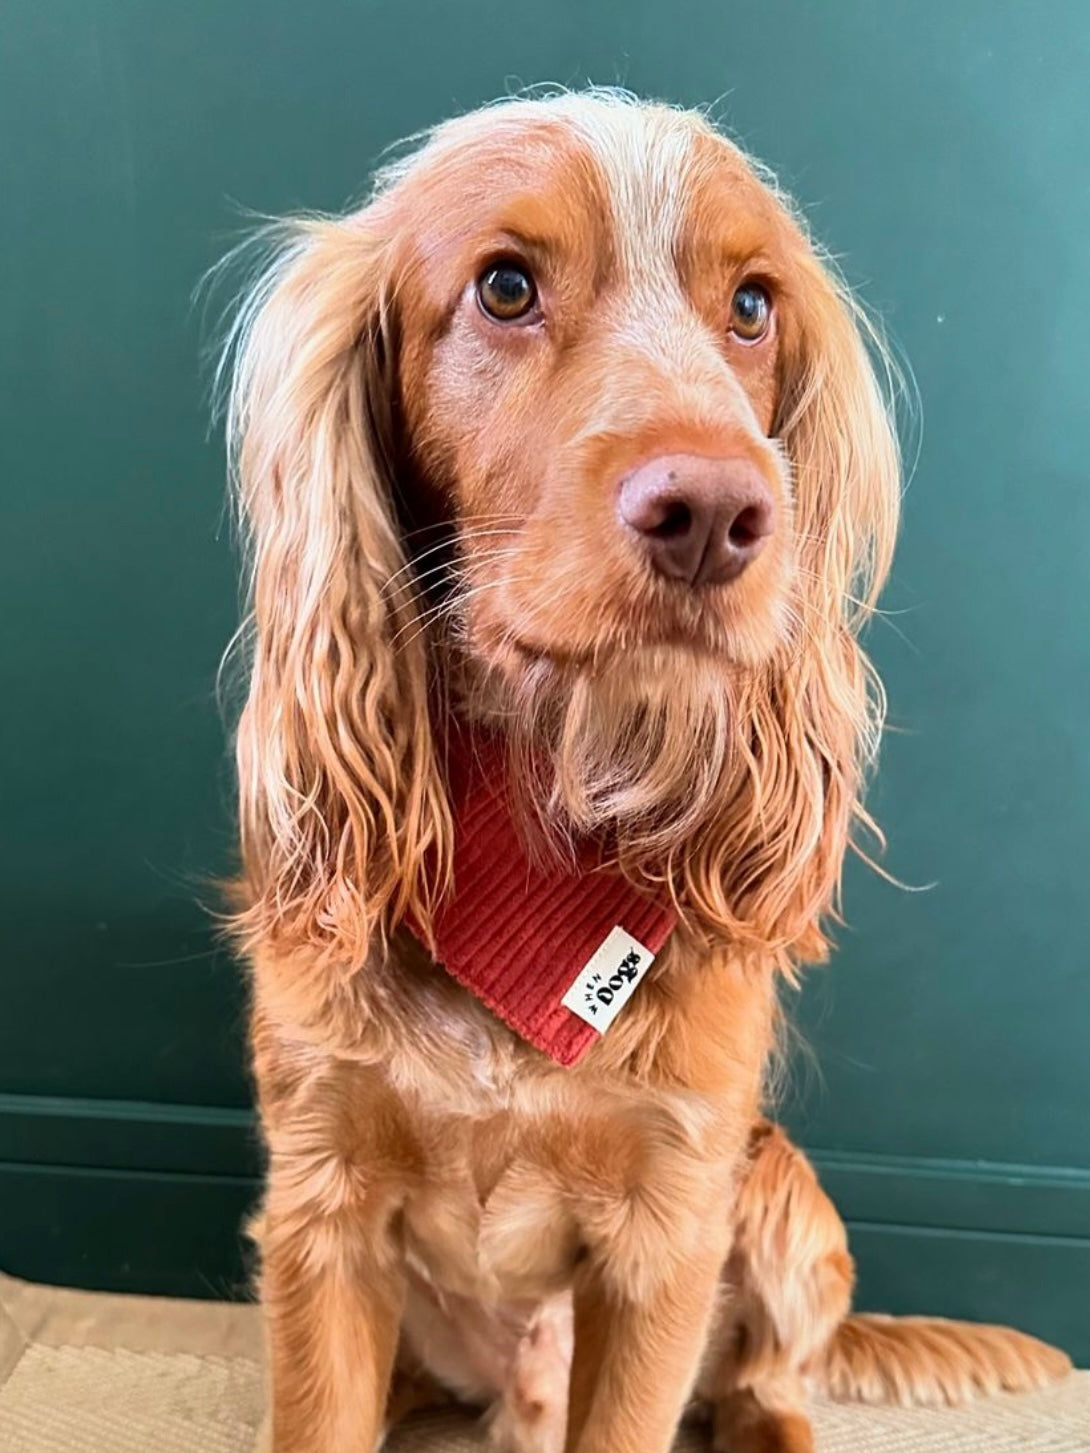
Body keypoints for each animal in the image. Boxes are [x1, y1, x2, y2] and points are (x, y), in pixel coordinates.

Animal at [219, 90, 1069, 1453]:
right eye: (504, 286)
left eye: (754, 305)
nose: (718, 513)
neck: (543, 804)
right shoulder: (321, 1208)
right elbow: (316, 1416)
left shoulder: (666, 1231)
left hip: (777, 1190)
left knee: (768, 1379)